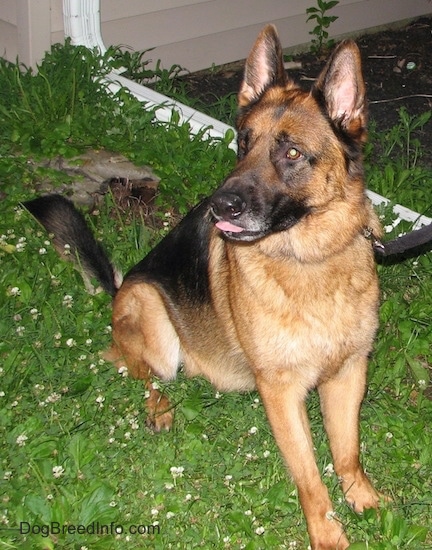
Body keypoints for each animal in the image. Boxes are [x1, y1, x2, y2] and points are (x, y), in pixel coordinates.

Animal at [24, 24, 394, 550]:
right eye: (242, 143)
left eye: (292, 152)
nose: (219, 206)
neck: (311, 260)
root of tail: (120, 288)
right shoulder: (281, 392)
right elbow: (309, 476)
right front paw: (326, 533)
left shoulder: (348, 374)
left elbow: (347, 453)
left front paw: (363, 499)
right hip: (152, 314)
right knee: (129, 363)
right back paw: (158, 405)